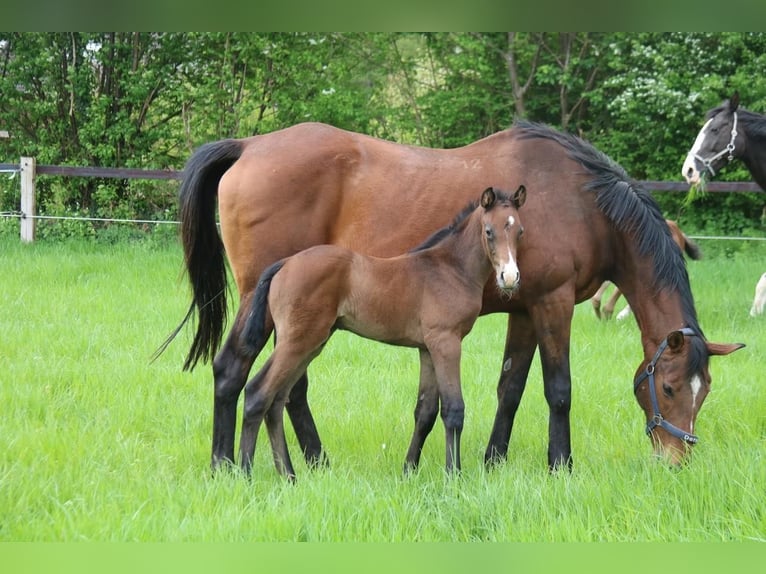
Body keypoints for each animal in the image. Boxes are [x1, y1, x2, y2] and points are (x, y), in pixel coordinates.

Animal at [240, 187, 528, 480]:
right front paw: (453, 475)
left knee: (276, 401)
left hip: (311, 344)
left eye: (520, 231)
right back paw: (246, 473)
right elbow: (453, 409)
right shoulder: (446, 342)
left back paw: (288, 476)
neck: (450, 269)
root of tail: (285, 263)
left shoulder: (427, 348)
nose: (509, 278)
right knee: (257, 393)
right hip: (297, 342)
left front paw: (409, 471)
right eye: (489, 231)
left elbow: (425, 411)